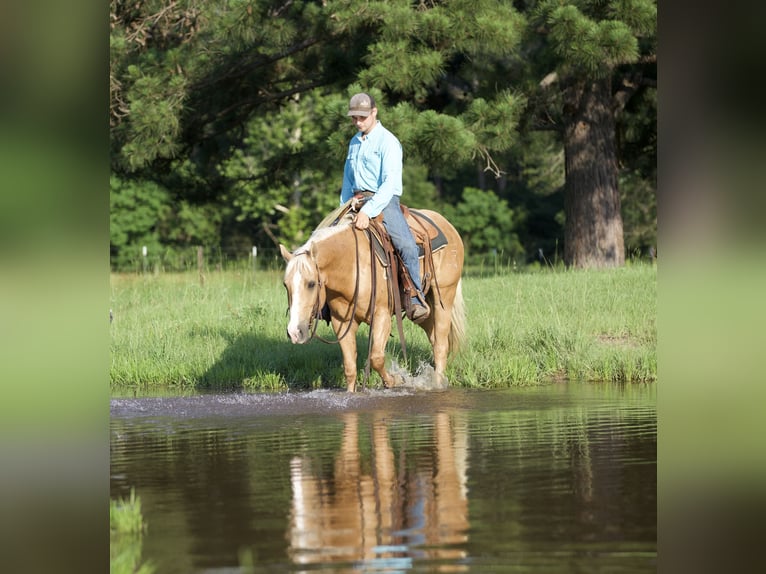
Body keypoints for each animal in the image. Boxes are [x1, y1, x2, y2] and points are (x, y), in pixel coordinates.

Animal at [280, 209, 464, 394]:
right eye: (285, 284)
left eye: (311, 284)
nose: (295, 332)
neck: (352, 265)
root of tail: (447, 225)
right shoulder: (342, 322)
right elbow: (350, 367)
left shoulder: (381, 316)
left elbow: (376, 358)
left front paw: (396, 380)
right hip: (425, 311)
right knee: (434, 337)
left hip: (444, 297)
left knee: (441, 344)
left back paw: (438, 384)